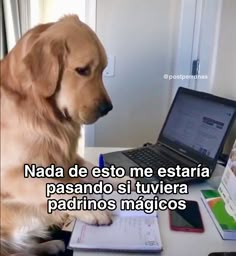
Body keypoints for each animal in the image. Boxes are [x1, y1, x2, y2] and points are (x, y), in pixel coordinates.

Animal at [0, 15, 129, 255]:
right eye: (82, 70)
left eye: (103, 69)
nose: (108, 108)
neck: (41, 112)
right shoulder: (10, 177)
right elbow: (54, 188)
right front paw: (92, 209)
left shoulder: (66, 159)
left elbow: (94, 168)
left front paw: (123, 178)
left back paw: (51, 244)